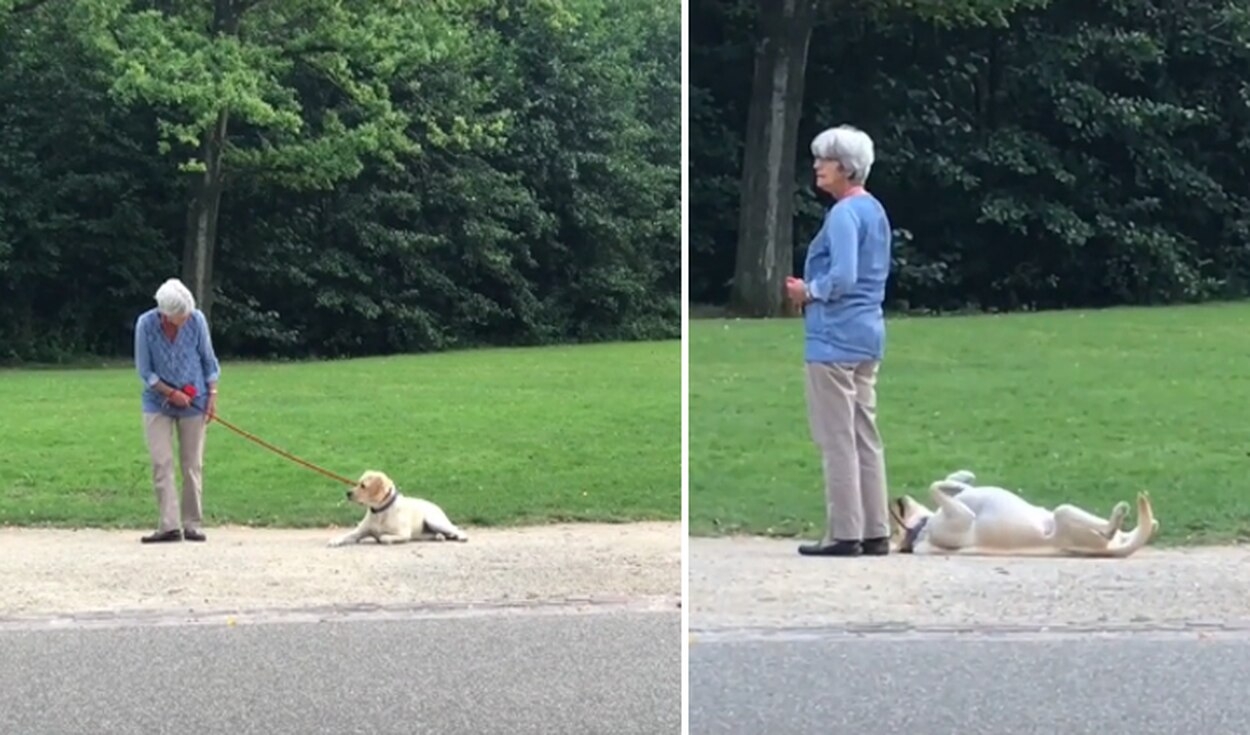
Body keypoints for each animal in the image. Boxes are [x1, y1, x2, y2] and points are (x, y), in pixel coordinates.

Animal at [327, 470, 470, 545]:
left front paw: (383, 538)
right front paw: (334, 540)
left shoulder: (403, 534)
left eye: (363, 486)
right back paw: (442, 536)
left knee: (455, 529)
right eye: (358, 483)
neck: (379, 512)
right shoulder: (358, 533)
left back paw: (460, 536)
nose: (348, 493)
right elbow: (346, 536)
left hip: (433, 520)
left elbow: (383, 537)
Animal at [885, 470, 1155, 557]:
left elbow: (946, 483)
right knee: (1102, 528)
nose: (896, 499)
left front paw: (963, 476)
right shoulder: (962, 517)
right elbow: (934, 487)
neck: (922, 529)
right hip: (1064, 517)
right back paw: (1118, 517)